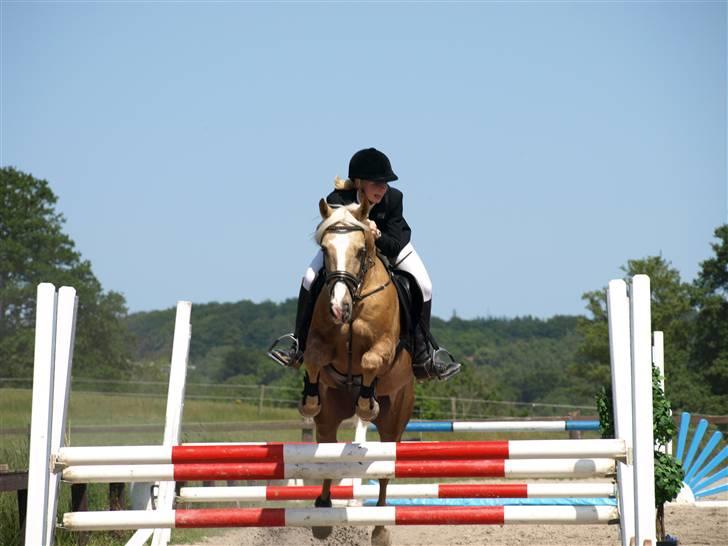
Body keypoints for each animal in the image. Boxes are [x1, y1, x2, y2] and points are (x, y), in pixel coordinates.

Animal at [298, 193, 412, 540]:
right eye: (325, 249)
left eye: (361, 250)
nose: (338, 308)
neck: (357, 296)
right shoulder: (318, 343)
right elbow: (313, 357)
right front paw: (308, 401)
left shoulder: (384, 348)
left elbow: (369, 361)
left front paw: (366, 404)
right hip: (330, 415)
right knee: (327, 450)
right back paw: (323, 513)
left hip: (395, 421)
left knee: (385, 464)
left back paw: (380, 526)